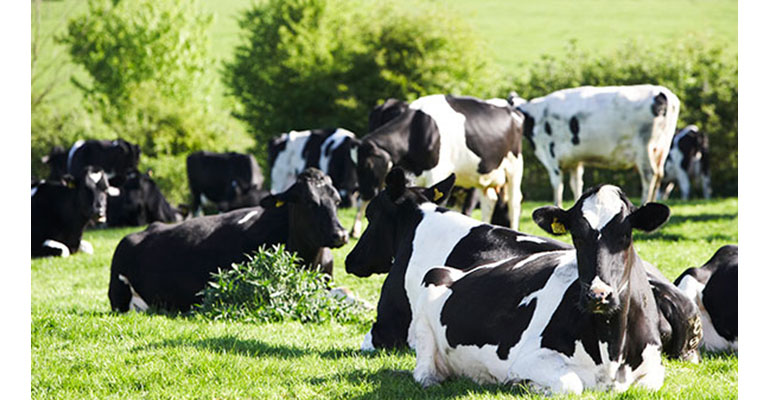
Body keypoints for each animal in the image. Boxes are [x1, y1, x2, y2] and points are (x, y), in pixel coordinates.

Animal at [353, 94, 525, 235]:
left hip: (514, 166)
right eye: (356, 166)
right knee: (490, 201)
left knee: (514, 203)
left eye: (368, 165)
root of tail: (512, 110)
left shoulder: (437, 174)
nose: (365, 193)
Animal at [411, 185, 674, 394]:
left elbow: (648, 384)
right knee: (423, 372)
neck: (611, 348)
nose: (598, 295)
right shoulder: (531, 359)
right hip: (429, 290)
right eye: (576, 236)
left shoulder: (654, 364)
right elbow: (571, 384)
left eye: (625, 235)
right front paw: (524, 384)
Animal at [516, 85, 680, 207]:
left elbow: (558, 185)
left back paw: (644, 203)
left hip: (644, 148)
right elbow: (576, 184)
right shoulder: (575, 161)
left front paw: (557, 206)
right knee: (659, 175)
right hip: (662, 148)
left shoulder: (552, 157)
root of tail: (663, 93)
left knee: (649, 175)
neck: (536, 116)